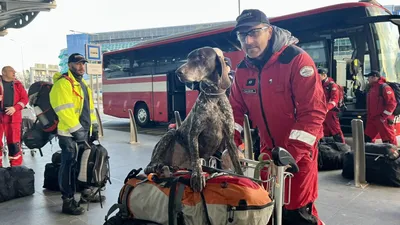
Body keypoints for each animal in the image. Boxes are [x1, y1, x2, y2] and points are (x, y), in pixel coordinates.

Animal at [144, 47, 244, 192]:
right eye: (188, 58)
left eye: (200, 57)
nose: (178, 72)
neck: (213, 96)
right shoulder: (194, 133)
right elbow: (196, 158)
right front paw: (197, 176)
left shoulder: (229, 138)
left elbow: (236, 161)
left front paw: (242, 175)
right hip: (170, 134)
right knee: (151, 164)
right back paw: (154, 165)